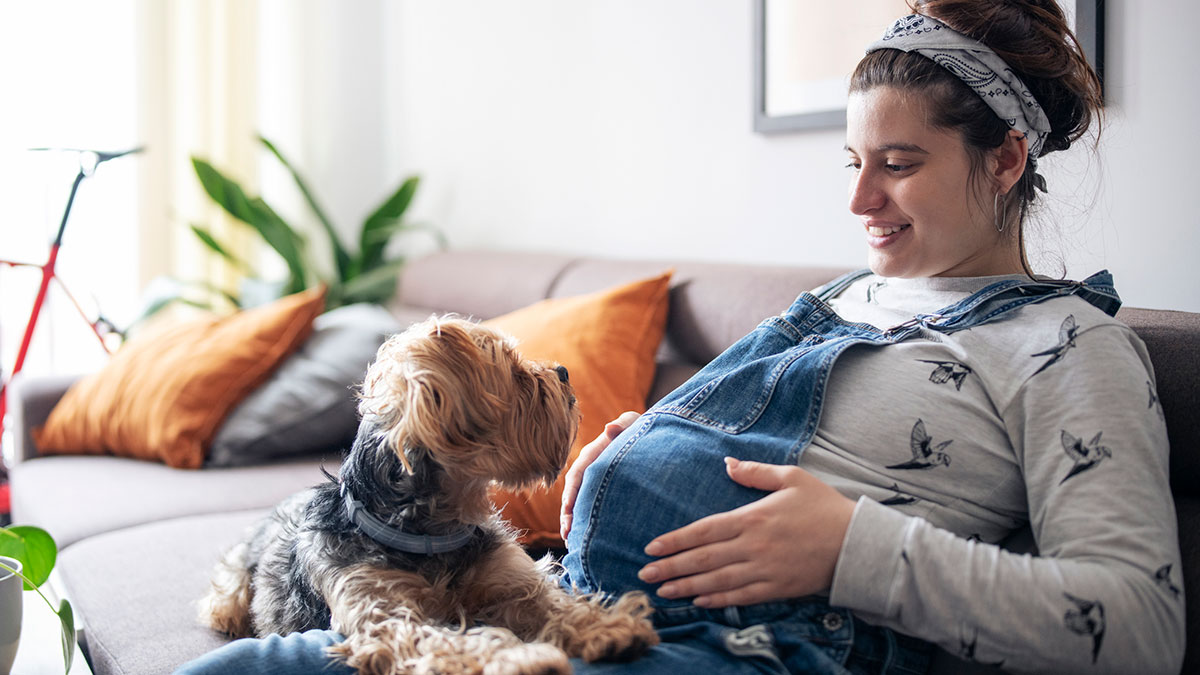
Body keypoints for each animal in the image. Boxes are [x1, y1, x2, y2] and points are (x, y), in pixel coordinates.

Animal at [201, 317, 662, 672]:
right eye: (515, 373)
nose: (564, 371)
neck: (432, 530)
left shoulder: (509, 579)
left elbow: (552, 601)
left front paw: (606, 627)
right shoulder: (385, 614)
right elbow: (447, 640)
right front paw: (519, 660)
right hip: (234, 585)